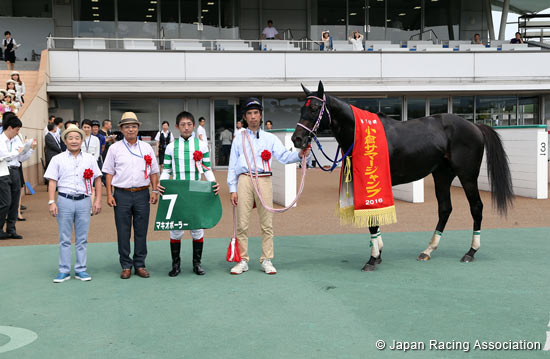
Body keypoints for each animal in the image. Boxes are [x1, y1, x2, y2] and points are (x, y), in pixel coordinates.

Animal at [296, 81, 516, 272]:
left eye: (315, 108)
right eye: (301, 109)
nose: (297, 139)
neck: (362, 135)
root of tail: (475, 127)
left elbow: (372, 219)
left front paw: (372, 258)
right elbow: (374, 218)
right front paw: (378, 253)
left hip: (467, 175)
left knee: (476, 207)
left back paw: (470, 251)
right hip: (442, 174)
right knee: (445, 208)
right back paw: (428, 250)